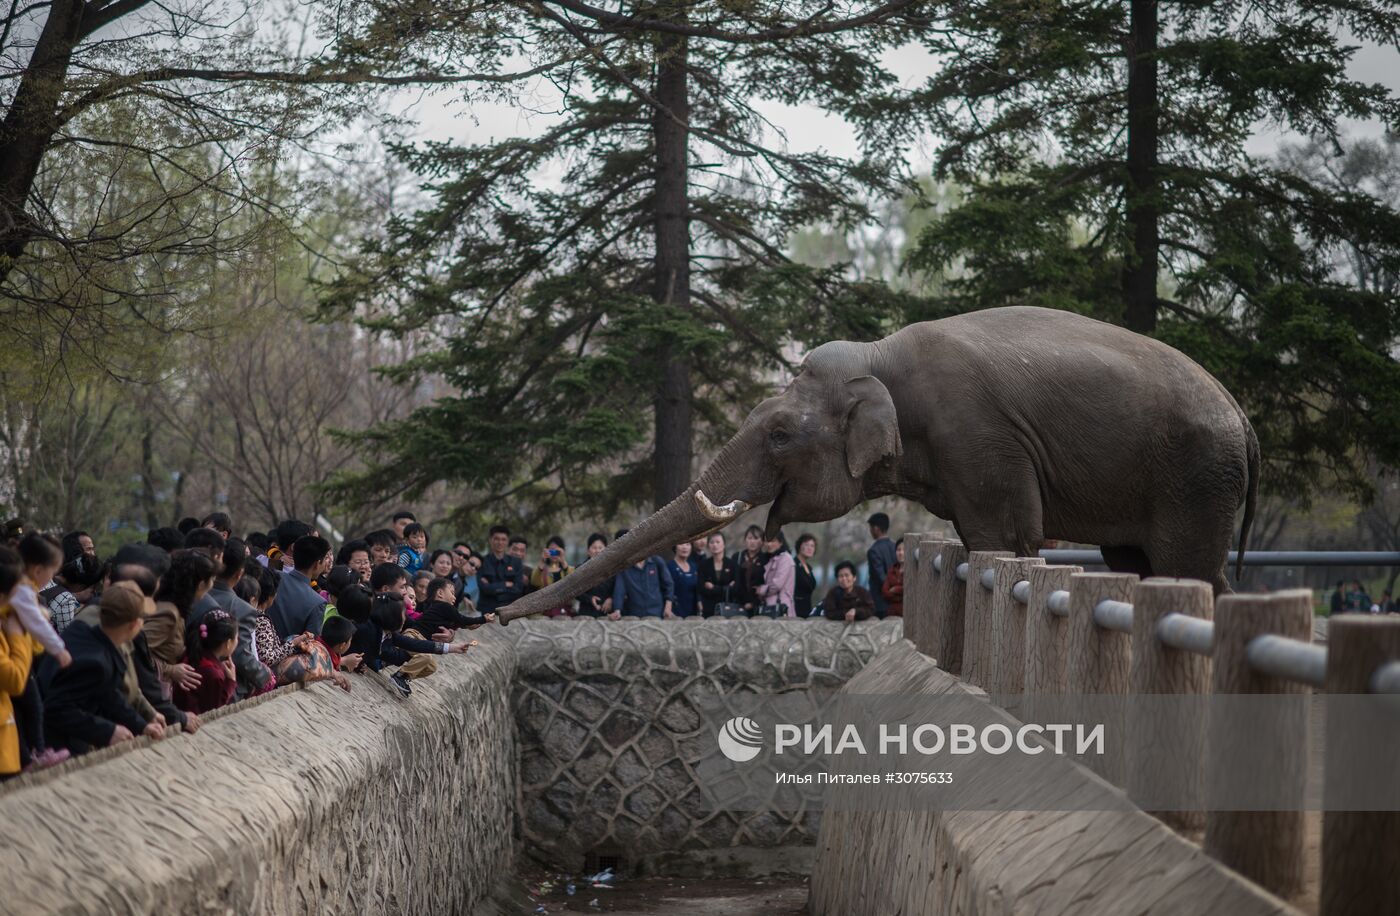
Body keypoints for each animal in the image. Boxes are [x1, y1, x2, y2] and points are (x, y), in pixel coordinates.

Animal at [501, 310, 1260, 624]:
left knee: (1187, 569)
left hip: (1195, 475)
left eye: (779, 432)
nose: (492, 620)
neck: (876, 357)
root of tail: (1242, 415)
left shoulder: (979, 436)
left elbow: (1003, 540)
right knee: (1142, 564)